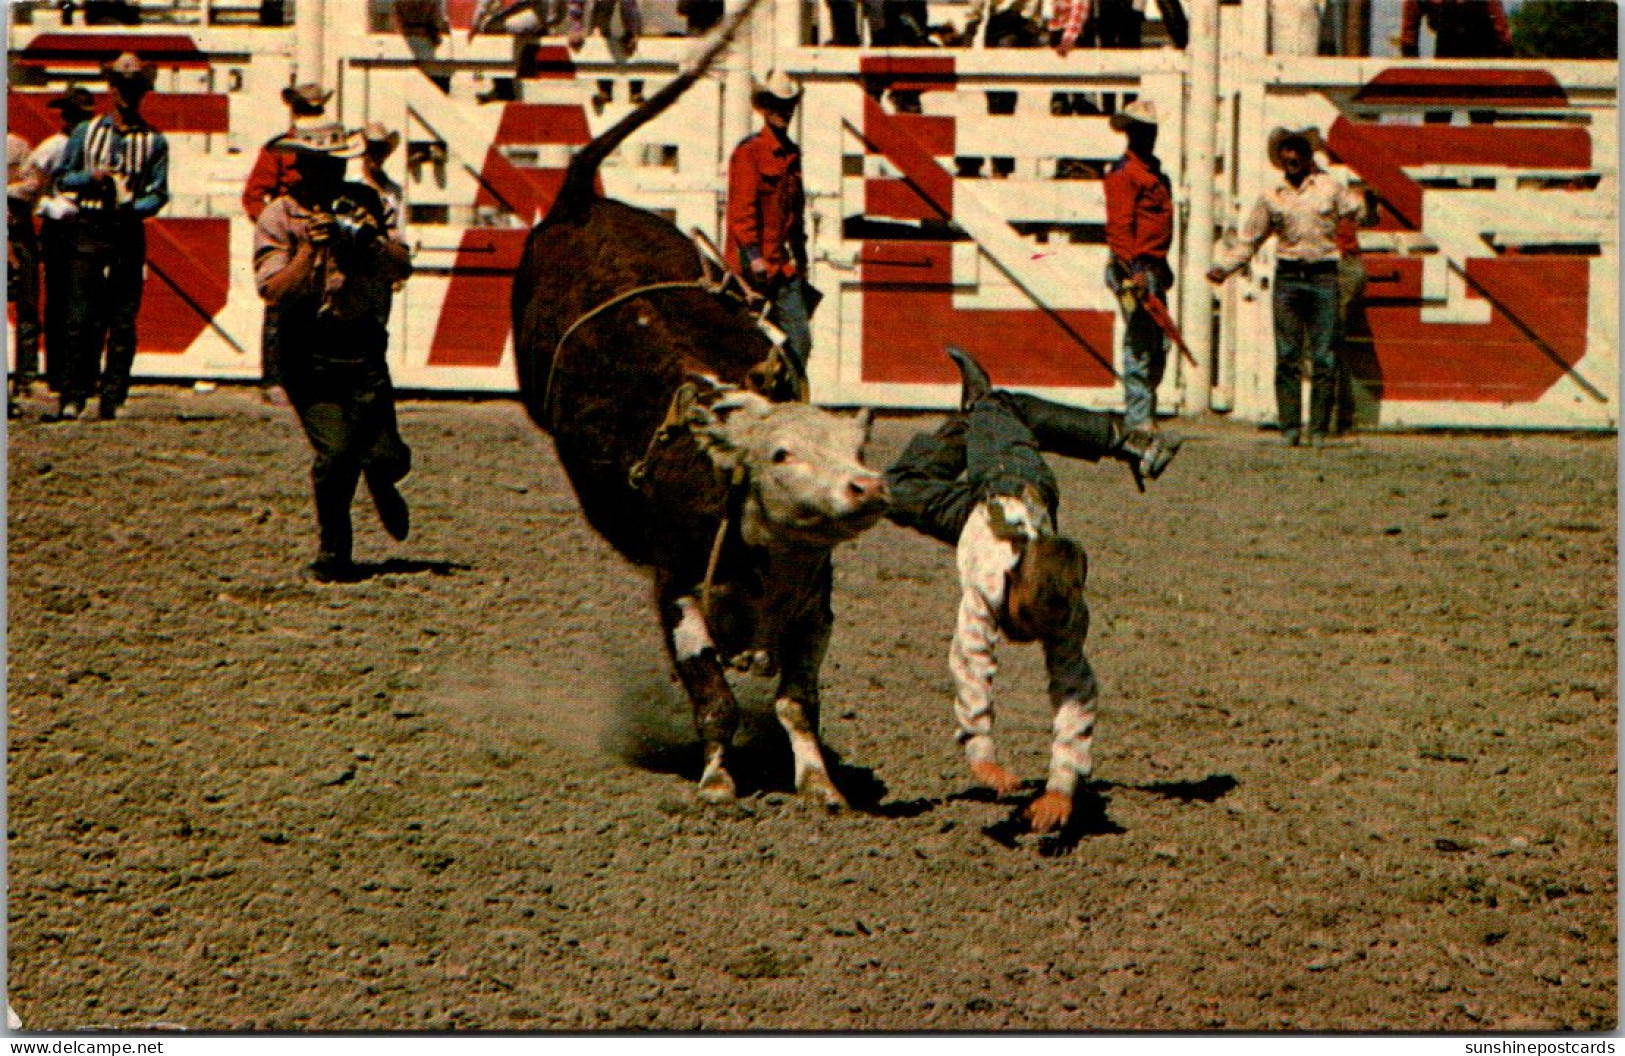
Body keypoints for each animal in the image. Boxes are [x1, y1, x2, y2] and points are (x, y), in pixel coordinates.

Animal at [507, 4, 890, 802]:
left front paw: (820, 784)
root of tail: (582, 201)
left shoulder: (814, 604)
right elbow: (712, 694)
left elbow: (796, 700)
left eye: (855, 447)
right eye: (782, 454)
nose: (864, 486)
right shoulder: (675, 586)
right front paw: (717, 778)